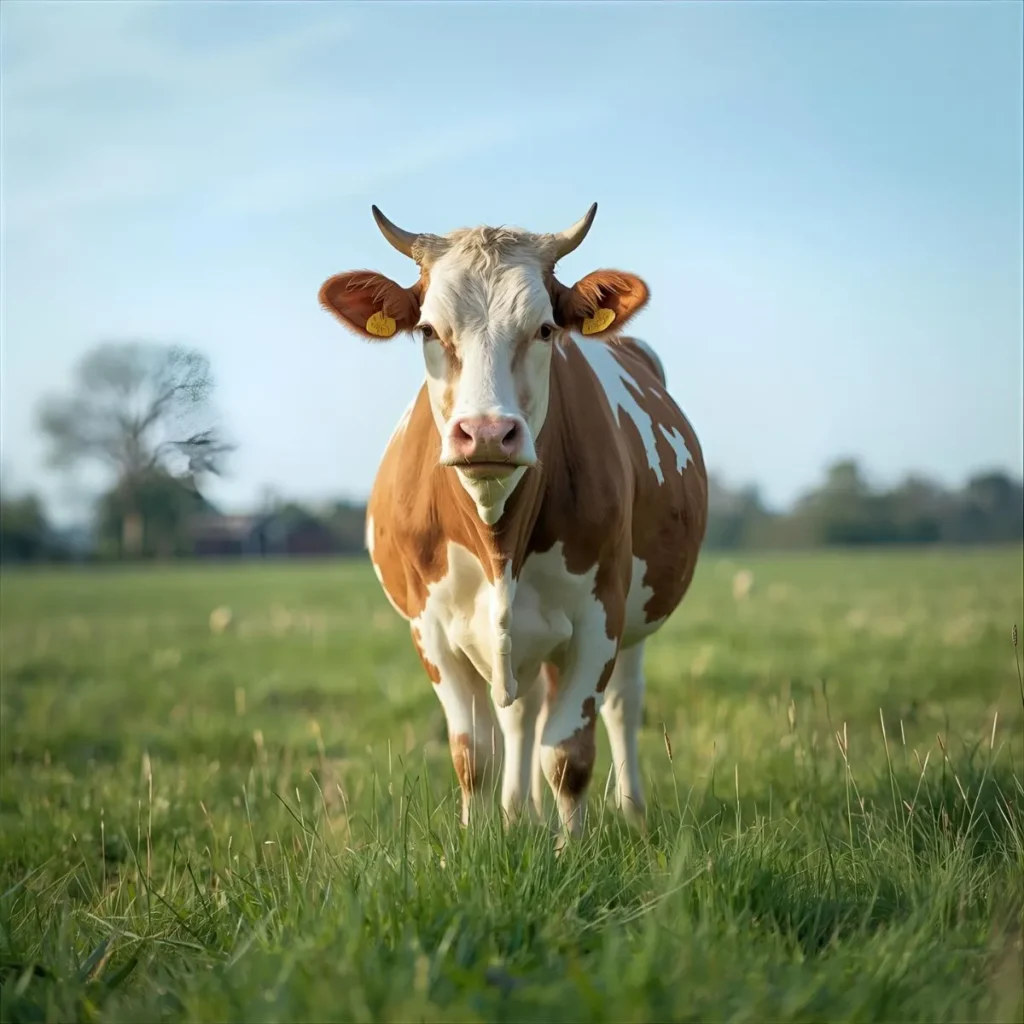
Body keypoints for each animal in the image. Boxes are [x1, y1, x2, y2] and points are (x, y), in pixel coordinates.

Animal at [319, 204, 708, 840]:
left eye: (546, 329)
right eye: (428, 331)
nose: (485, 433)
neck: (497, 539)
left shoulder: (600, 617)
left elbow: (568, 755)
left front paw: (571, 850)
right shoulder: (431, 629)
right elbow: (474, 752)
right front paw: (478, 841)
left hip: (634, 618)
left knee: (621, 704)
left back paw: (631, 813)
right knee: (521, 715)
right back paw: (516, 811)